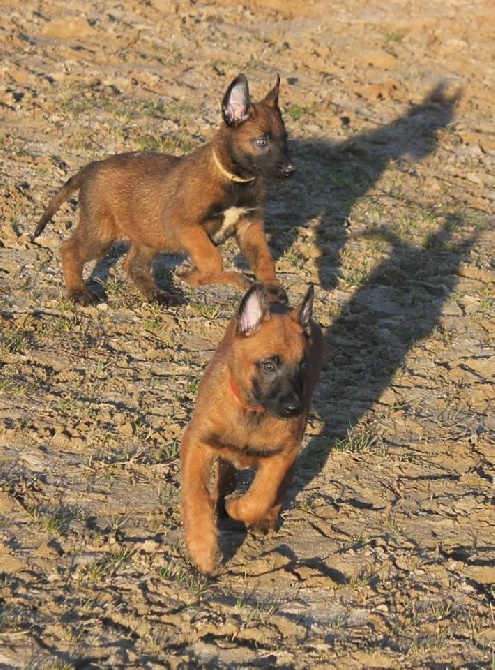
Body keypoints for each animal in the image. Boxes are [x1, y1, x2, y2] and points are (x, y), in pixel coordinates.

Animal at [34, 73, 294, 304]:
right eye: (261, 141)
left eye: (285, 142)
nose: (290, 170)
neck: (235, 181)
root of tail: (93, 165)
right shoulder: (183, 222)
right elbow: (212, 259)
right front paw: (200, 276)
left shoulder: (250, 228)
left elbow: (264, 261)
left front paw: (271, 288)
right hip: (101, 233)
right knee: (69, 250)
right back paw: (78, 292)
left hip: (148, 235)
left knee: (133, 265)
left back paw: (158, 294)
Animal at [181, 284, 326, 576]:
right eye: (269, 365)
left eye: (302, 367)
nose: (294, 408)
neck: (252, 413)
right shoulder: (197, 444)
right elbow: (196, 496)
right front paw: (203, 550)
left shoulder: (282, 455)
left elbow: (260, 496)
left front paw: (237, 507)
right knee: (225, 474)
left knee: (277, 489)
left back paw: (262, 517)